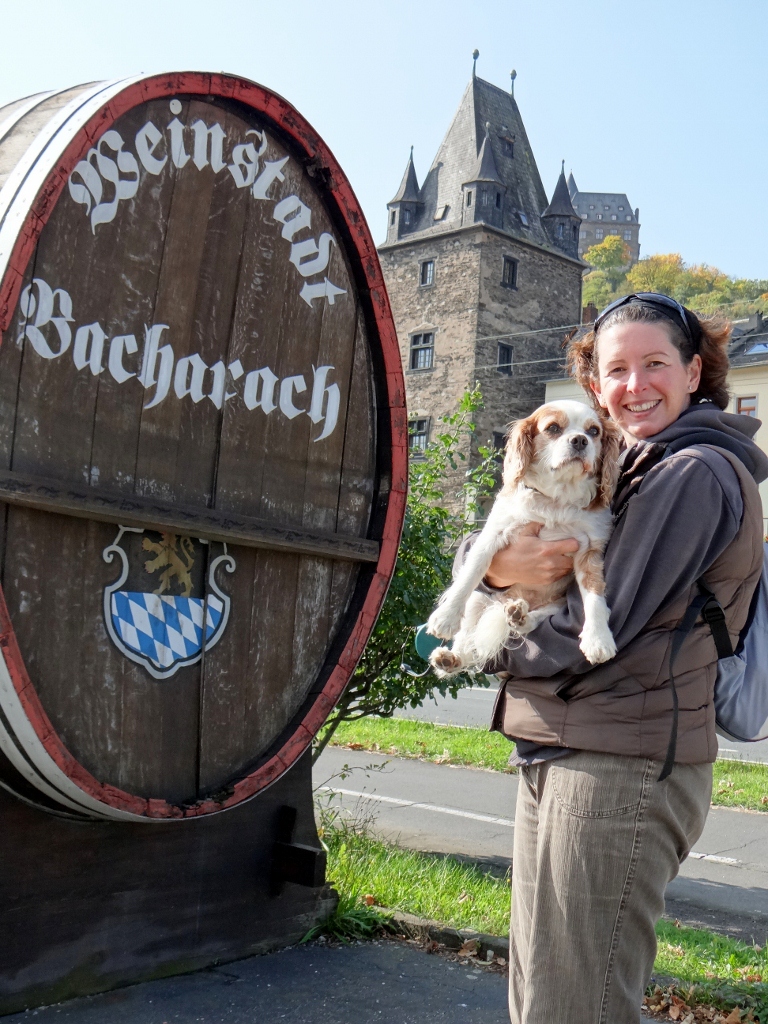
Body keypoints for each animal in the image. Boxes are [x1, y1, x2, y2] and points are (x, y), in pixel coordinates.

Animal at [426, 400, 622, 676]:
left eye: (594, 431)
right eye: (553, 428)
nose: (580, 440)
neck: (557, 500)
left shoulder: (590, 552)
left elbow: (595, 597)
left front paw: (599, 639)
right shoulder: (492, 535)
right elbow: (469, 576)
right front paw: (446, 617)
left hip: (555, 604)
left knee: (536, 620)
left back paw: (521, 616)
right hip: (479, 599)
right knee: (468, 641)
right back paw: (452, 658)